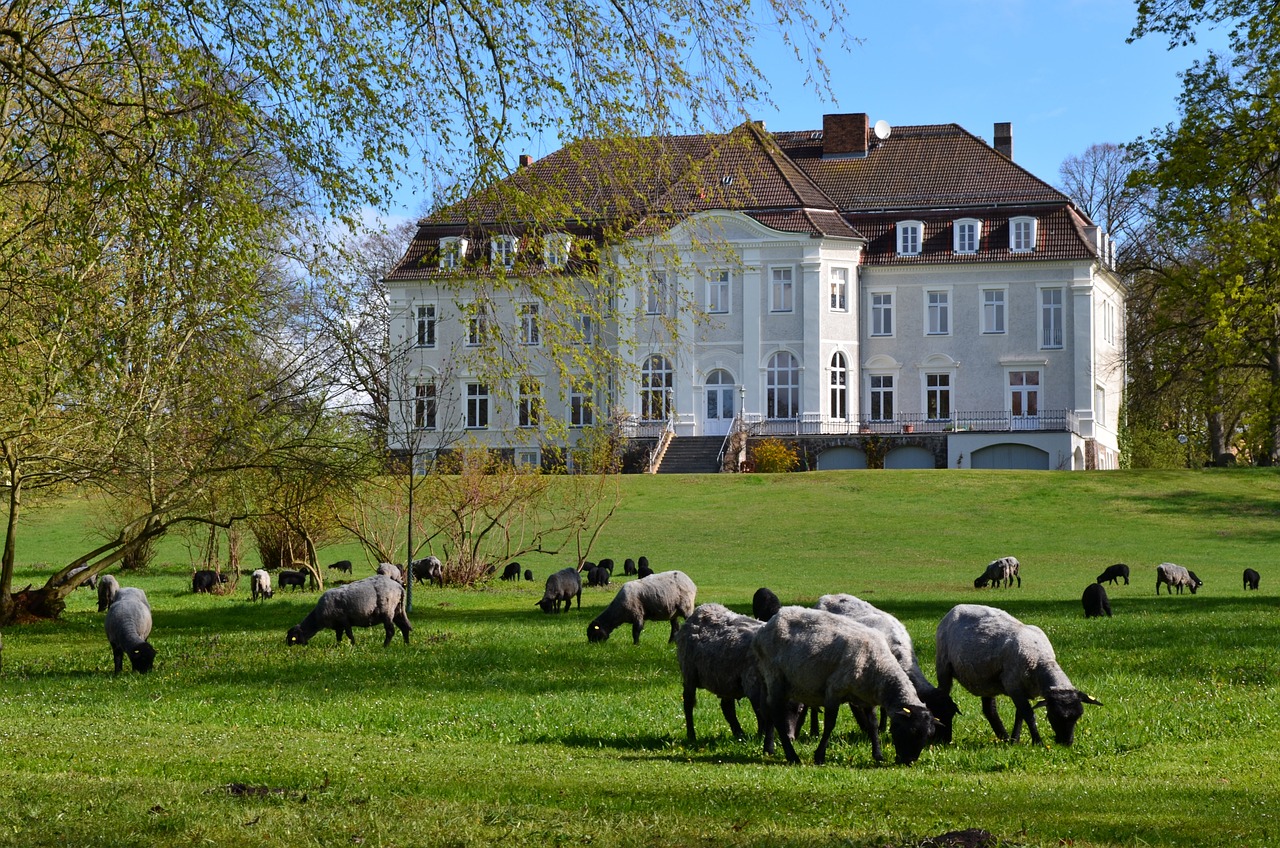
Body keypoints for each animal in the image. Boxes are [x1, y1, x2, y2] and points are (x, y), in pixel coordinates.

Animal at [747, 607, 942, 768]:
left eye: (929, 735)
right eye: (912, 731)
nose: (908, 761)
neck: (878, 666)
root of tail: (766, 626)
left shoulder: (865, 696)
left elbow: (872, 724)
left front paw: (878, 755)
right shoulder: (833, 691)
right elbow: (829, 725)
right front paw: (819, 756)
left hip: (768, 678)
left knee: (768, 710)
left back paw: (769, 748)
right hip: (775, 676)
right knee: (777, 716)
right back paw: (792, 756)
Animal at [819, 594, 962, 742]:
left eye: (951, 714)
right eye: (938, 713)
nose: (947, 741)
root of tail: (829, 596)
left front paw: (882, 727)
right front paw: (880, 728)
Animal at [931, 604, 1100, 753]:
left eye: (1078, 716)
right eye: (1054, 714)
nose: (1067, 743)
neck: (1040, 660)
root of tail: (955, 608)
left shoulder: (1022, 689)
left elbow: (1020, 715)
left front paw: (1015, 740)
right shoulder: (1013, 685)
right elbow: (1028, 715)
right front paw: (1037, 742)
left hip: (985, 678)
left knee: (989, 710)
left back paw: (1004, 737)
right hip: (943, 665)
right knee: (943, 698)